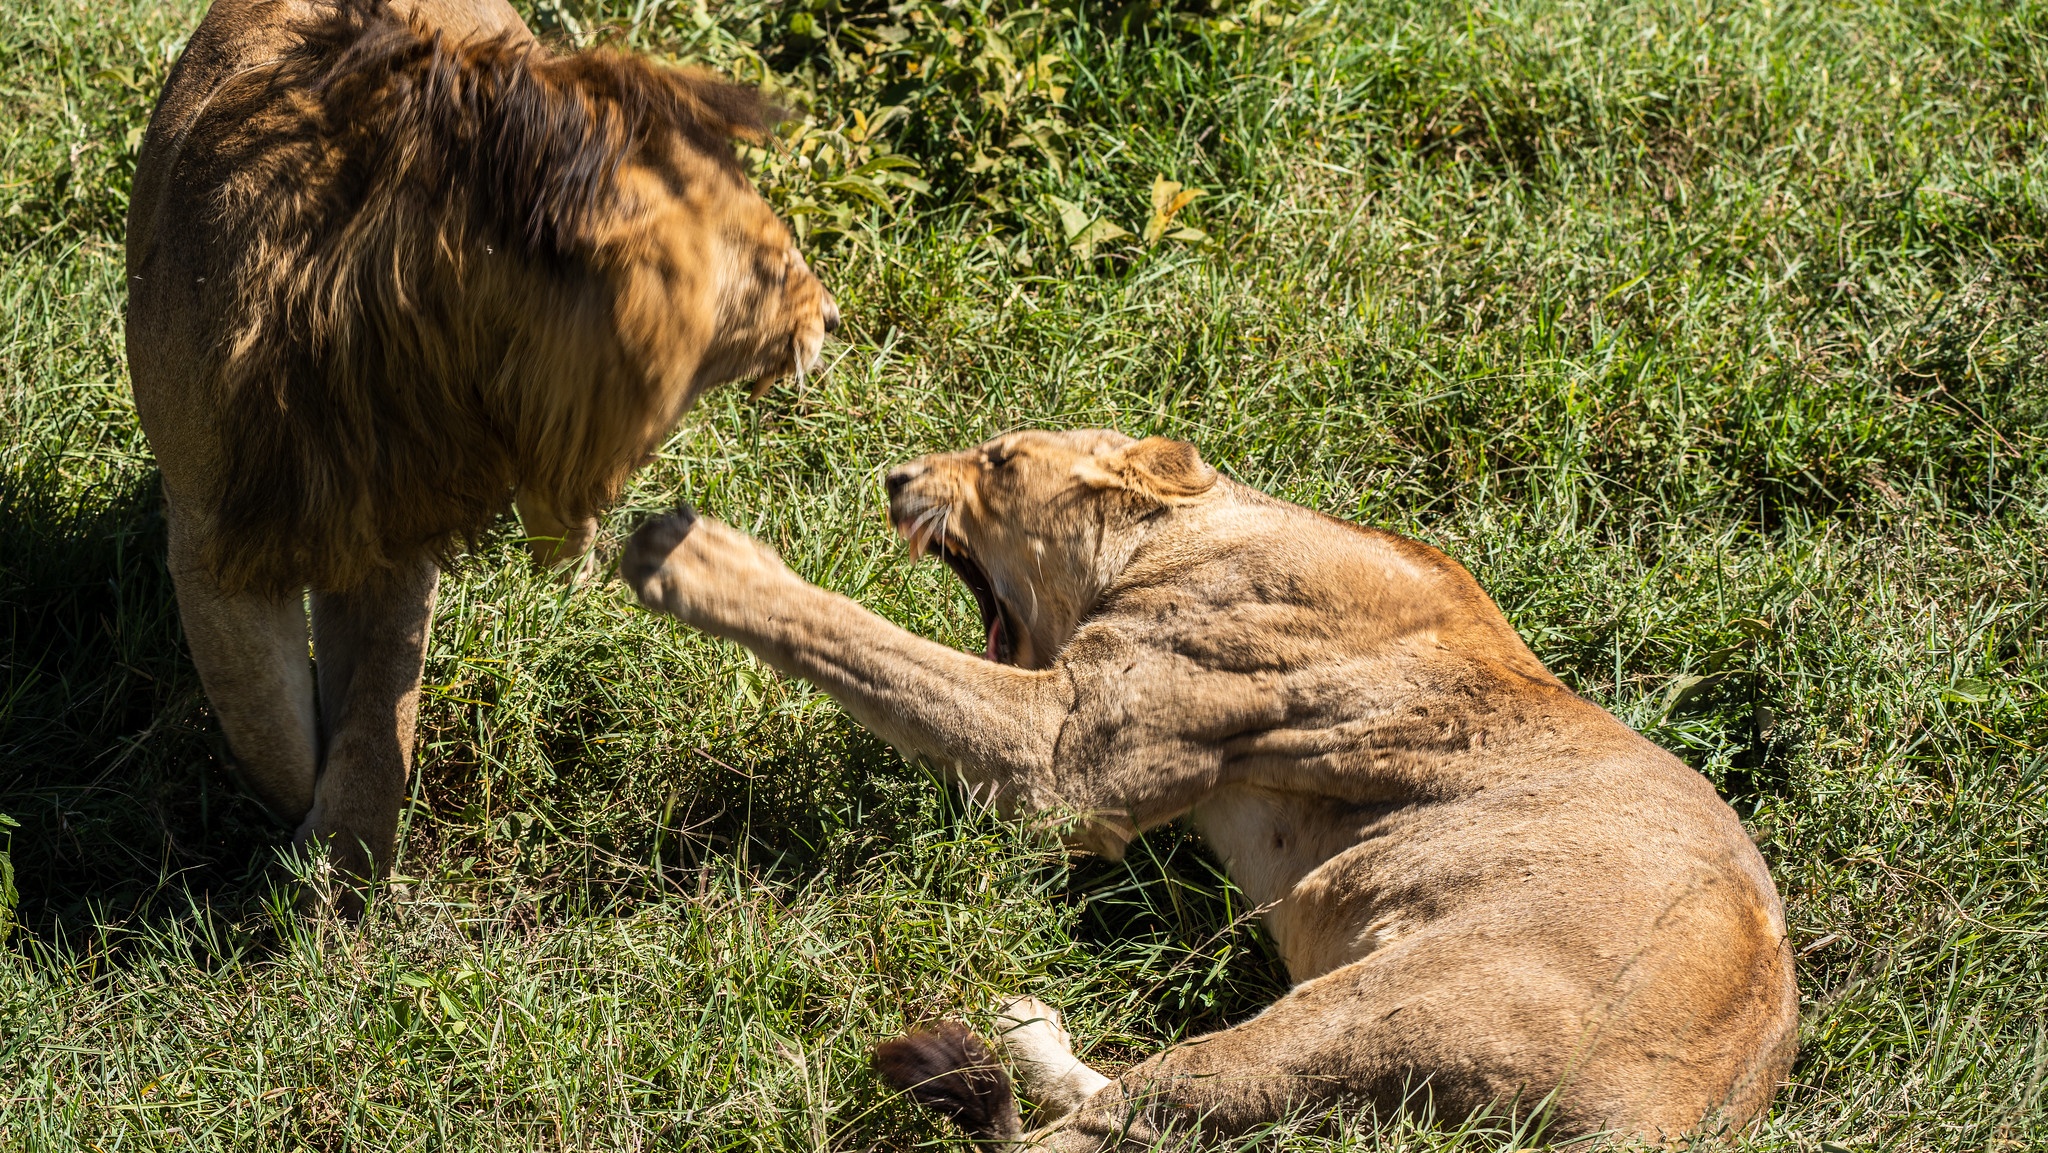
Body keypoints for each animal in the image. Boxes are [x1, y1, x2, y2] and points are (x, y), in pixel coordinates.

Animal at [128, 0, 835, 901]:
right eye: (772, 266)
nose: (832, 317)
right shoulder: (215, 538)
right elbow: (269, 720)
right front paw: (302, 838)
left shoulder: (392, 523)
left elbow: (379, 708)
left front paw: (344, 858)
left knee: (561, 524)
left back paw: (570, 600)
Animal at [618, 434, 1794, 1146]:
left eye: (998, 458)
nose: (896, 475)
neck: (1193, 526)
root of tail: (1685, 1116)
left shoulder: (1066, 758)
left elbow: (869, 642)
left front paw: (693, 556)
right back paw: (1025, 1026)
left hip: (1373, 1013)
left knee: (1111, 1127)